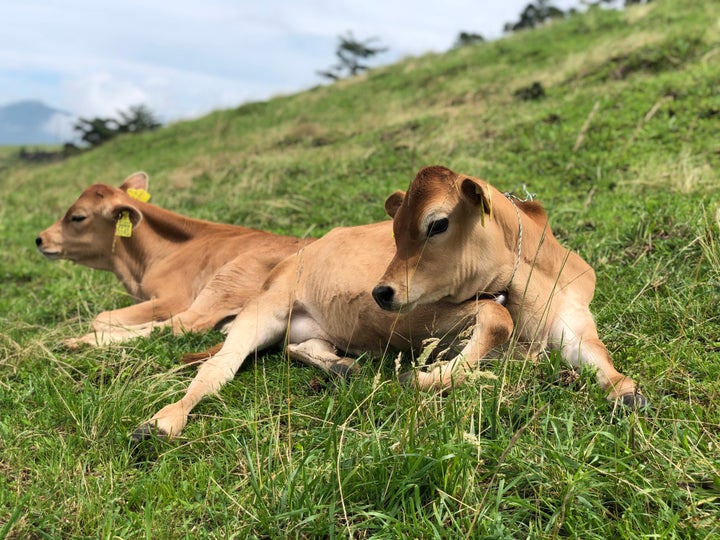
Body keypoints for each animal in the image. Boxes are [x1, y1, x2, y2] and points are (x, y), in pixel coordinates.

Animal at [38, 173, 310, 348]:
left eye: (78, 217)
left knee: (182, 324)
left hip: (228, 279)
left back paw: (81, 341)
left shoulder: (172, 298)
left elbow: (101, 318)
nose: (39, 239)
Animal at [372, 165, 648, 404]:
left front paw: (626, 391)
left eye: (438, 224)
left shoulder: (573, 319)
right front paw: (420, 378)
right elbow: (498, 320)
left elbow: (597, 352)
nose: (381, 292)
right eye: (395, 231)